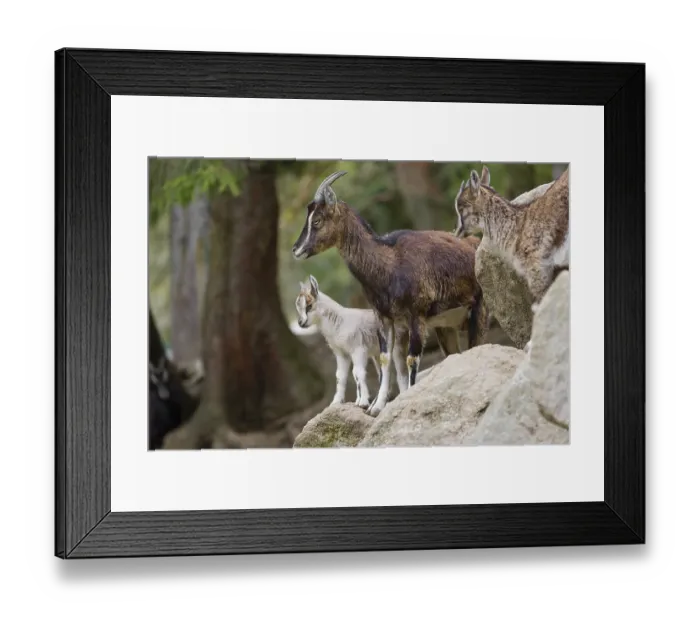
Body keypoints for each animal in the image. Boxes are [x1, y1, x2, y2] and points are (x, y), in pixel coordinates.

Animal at [295, 274, 409, 408]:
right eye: (298, 307)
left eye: (309, 305)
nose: (301, 323)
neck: (339, 322)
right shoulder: (341, 353)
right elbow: (341, 376)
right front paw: (338, 402)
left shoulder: (358, 349)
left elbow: (358, 372)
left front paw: (363, 402)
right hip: (377, 354)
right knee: (384, 375)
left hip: (397, 346)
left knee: (402, 373)